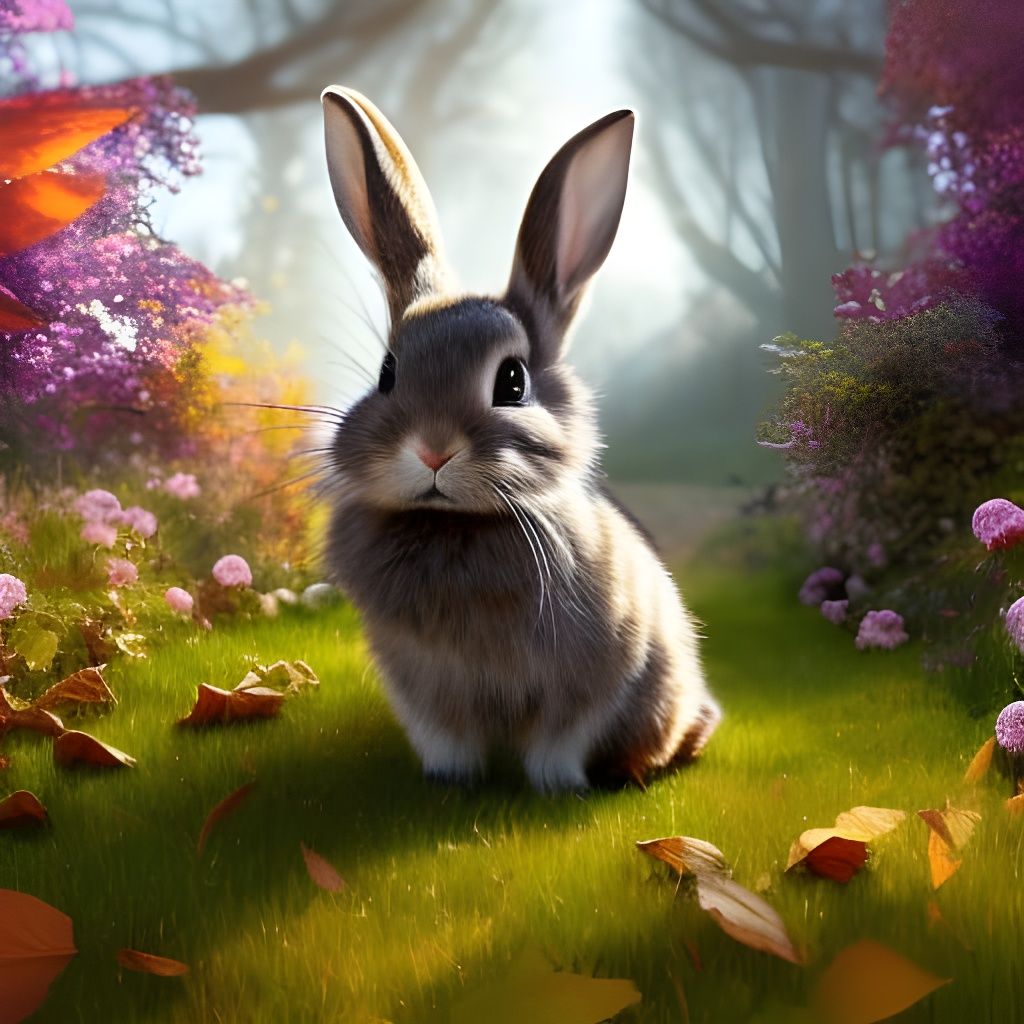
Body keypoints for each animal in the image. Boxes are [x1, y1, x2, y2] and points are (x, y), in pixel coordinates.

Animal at [319, 86, 720, 792]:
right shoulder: (423, 689)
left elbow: (560, 741)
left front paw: (556, 787)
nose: (432, 450)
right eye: (387, 372)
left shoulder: (590, 681)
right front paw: (448, 782)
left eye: (512, 381)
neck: (457, 527)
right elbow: (446, 739)